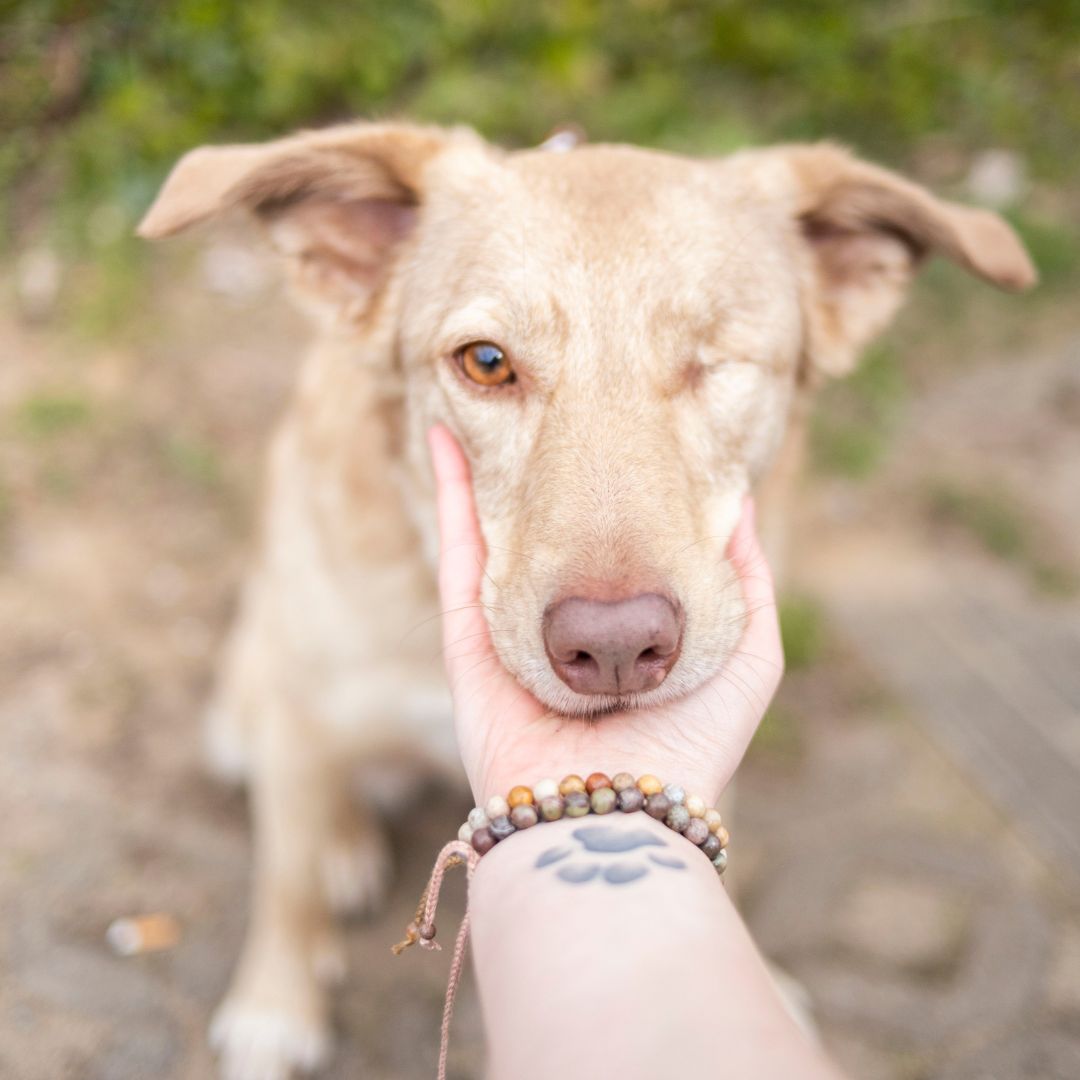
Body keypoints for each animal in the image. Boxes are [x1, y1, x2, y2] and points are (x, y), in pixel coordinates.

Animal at [139, 122, 1032, 1075]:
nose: (613, 648)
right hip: (246, 697)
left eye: (715, 363)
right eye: (487, 363)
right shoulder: (299, 704)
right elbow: (286, 880)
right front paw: (275, 1005)